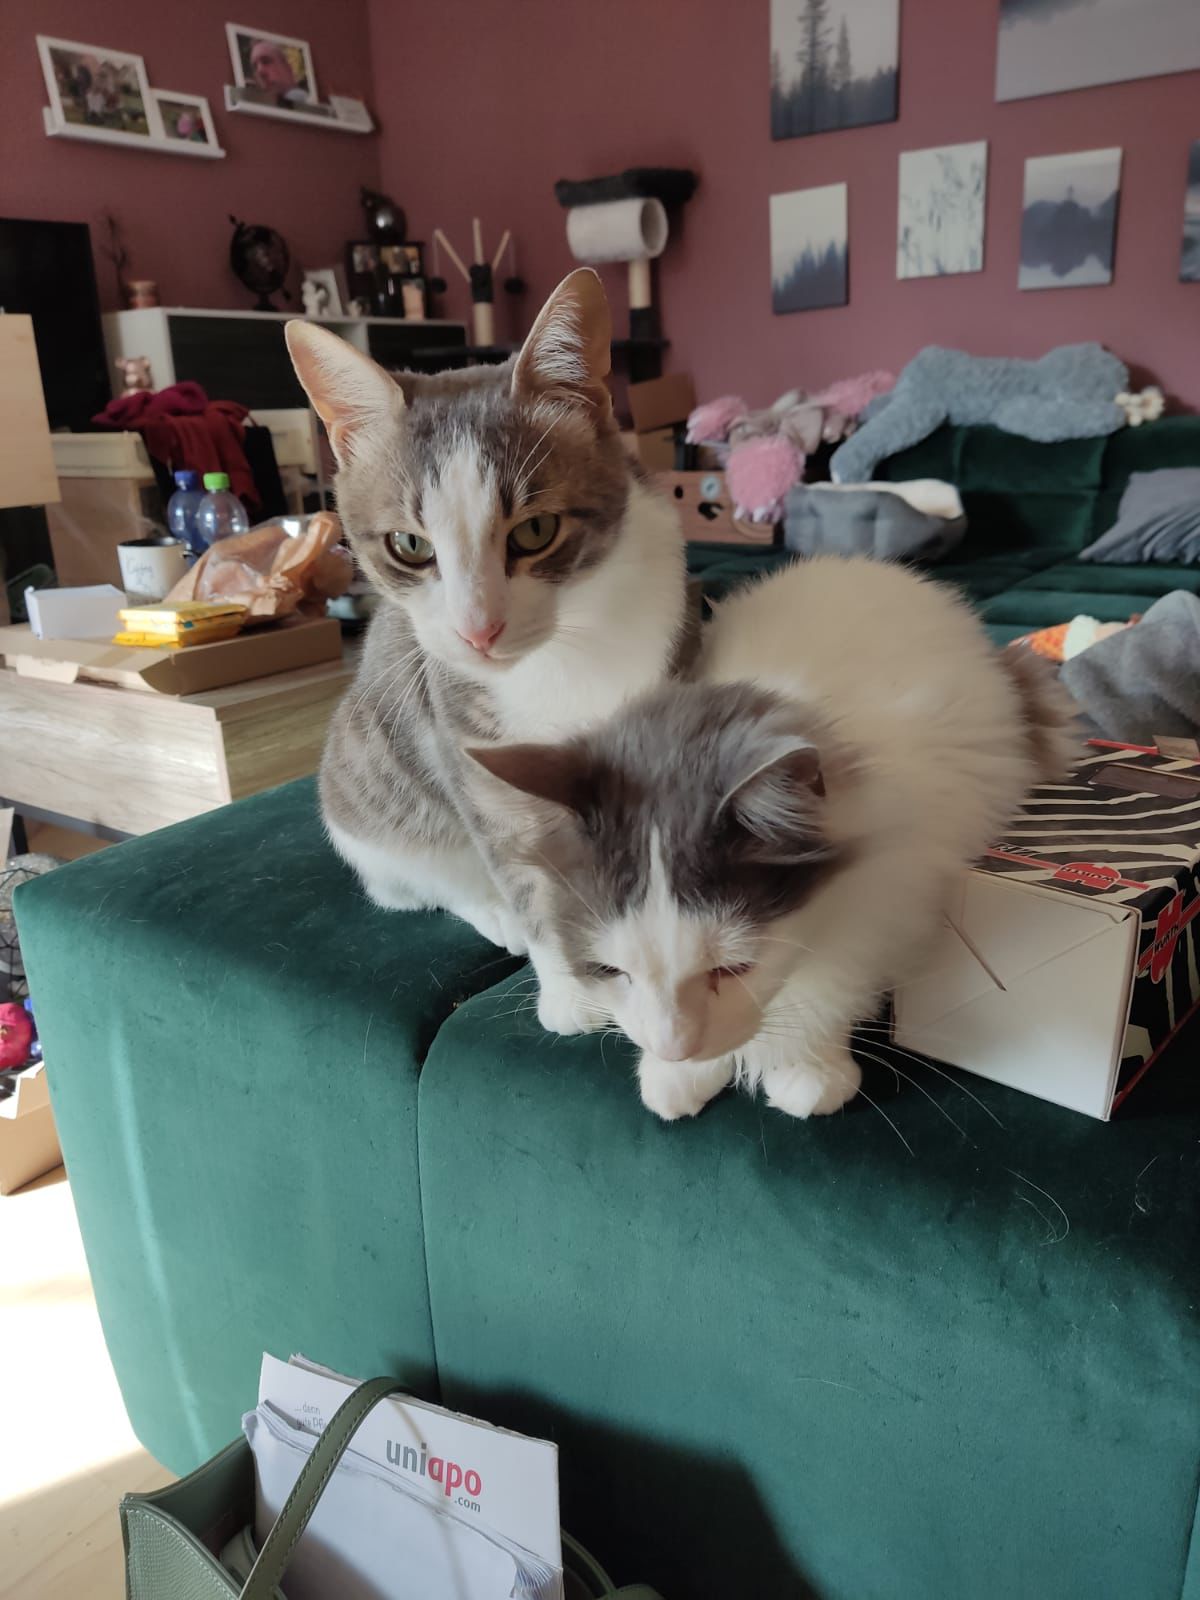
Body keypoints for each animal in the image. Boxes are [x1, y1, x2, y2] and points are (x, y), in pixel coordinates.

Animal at [285, 270, 687, 1032]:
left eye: (534, 531)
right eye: (408, 545)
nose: (478, 628)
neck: (563, 657)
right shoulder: (475, 756)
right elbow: (526, 871)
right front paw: (572, 996)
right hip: (368, 801)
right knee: (408, 884)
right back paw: (489, 910)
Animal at [466, 556, 1078, 1119]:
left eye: (732, 970)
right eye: (613, 972)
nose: (676, 1047)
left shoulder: (893, 896)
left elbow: (831, 987)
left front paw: (807, 1069)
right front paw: (677, 1075)